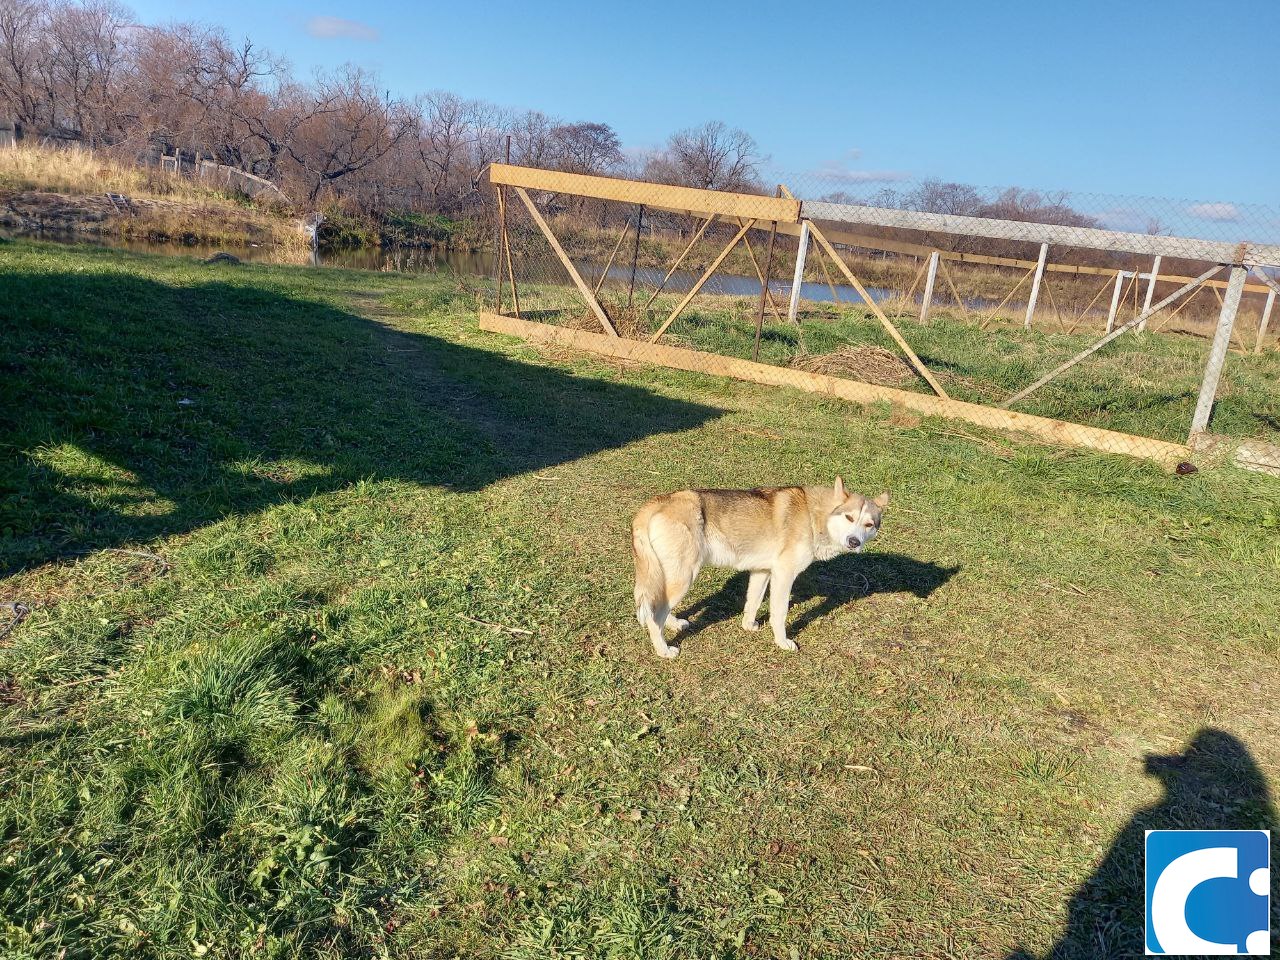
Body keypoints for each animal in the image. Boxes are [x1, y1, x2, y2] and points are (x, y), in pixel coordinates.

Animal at [632, 481, 890, 660]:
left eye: (869, 524)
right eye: (849, 517)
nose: (854, 542)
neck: (814, 515)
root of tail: (654, 503)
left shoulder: (762, 572)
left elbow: (752, 603)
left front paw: (749, 626)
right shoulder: (784, 575)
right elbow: (779, 613)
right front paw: (782, 642)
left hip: (671, 576)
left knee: (659, 608)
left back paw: (674, 623)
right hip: (684, 577)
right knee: (654, 617)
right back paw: (664, 650)